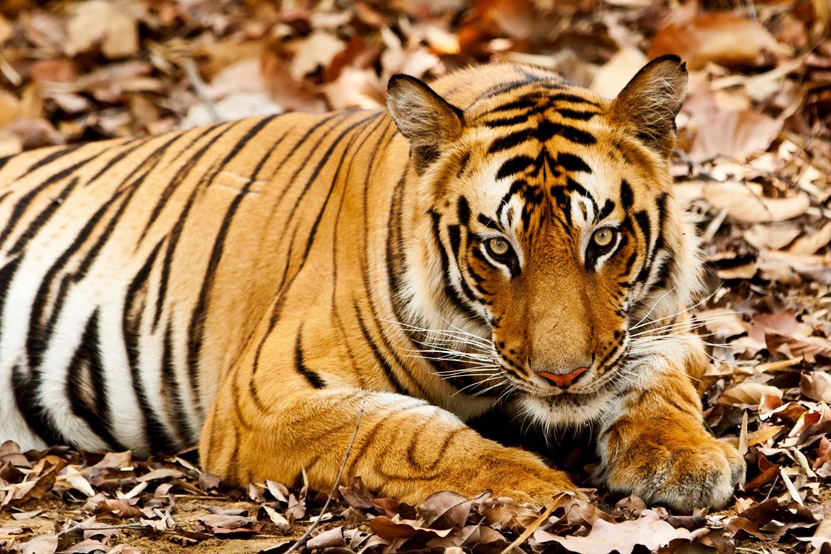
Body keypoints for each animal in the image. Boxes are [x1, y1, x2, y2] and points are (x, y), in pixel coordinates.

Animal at [0, 55, 748, 508]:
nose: (563, 377)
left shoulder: (668, 328)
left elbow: (660, 385)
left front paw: (685, 459)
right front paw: (530, 484)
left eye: (603, 240)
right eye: (497, 248)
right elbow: (406, 430)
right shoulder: (263, 397)